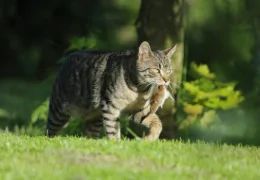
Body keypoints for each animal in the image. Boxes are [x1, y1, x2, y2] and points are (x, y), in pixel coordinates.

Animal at [45, 41, 177, 141]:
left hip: (94, 118)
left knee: (90, 135)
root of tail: (67, 58)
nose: (167, 81)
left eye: (169, 70)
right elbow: (113, 130)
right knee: (49, 131)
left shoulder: (140, 110)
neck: (138, 88)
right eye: (156, 70)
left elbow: (157, 123)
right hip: (58, 113)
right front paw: (116, 145)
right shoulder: (110, 107)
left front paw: (149, 138)